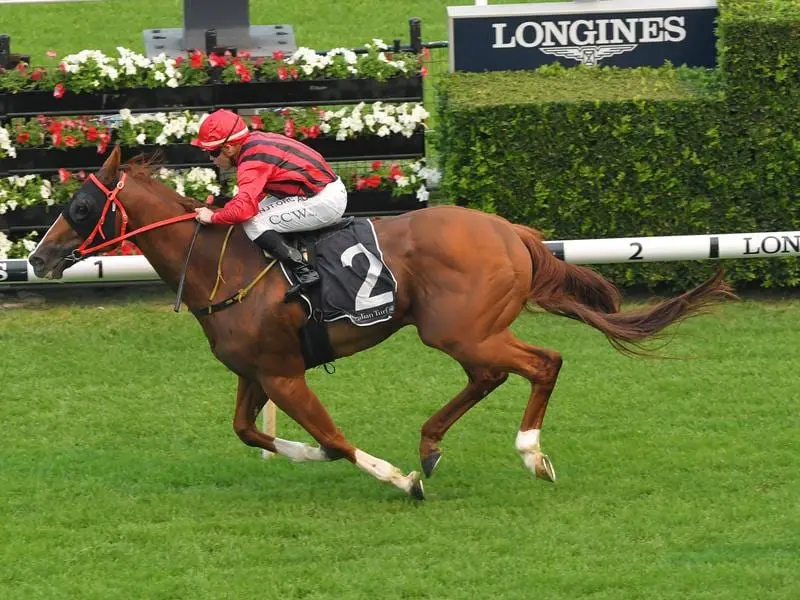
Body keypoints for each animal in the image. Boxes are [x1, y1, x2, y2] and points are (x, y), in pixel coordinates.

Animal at [29, 146, 732, 502]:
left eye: (82, 205)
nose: (38, 258)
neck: (224, 268)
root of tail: (514, 233)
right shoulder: (257, 371)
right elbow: (249, 432)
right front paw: (305, 453)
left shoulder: (283, 374)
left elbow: (336, 440)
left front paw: (399, 479)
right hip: (461, 332)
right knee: (490, 376)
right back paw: (432, 443)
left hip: (461, 329)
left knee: (542, 363)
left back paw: (529, 455)